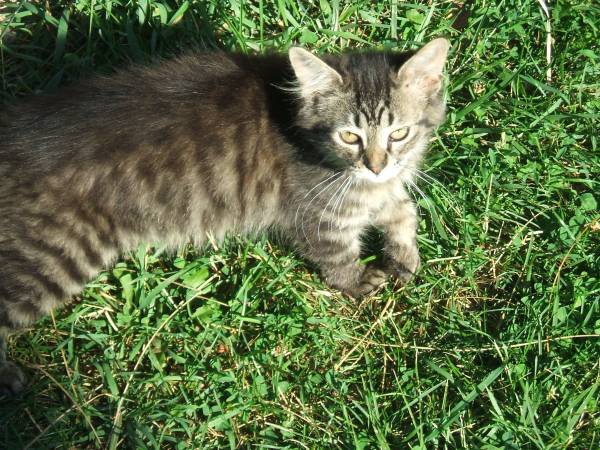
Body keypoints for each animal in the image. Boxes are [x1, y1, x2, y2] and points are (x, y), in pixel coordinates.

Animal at [0, 39, 450, 398]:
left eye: (399, 134)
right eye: (350, 136)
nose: (376, 165)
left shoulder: (377, 191)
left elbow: (403, 212)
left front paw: (404, 257)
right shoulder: (318, 213)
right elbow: (337, 255)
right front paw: (359, 282)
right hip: (51, 257)